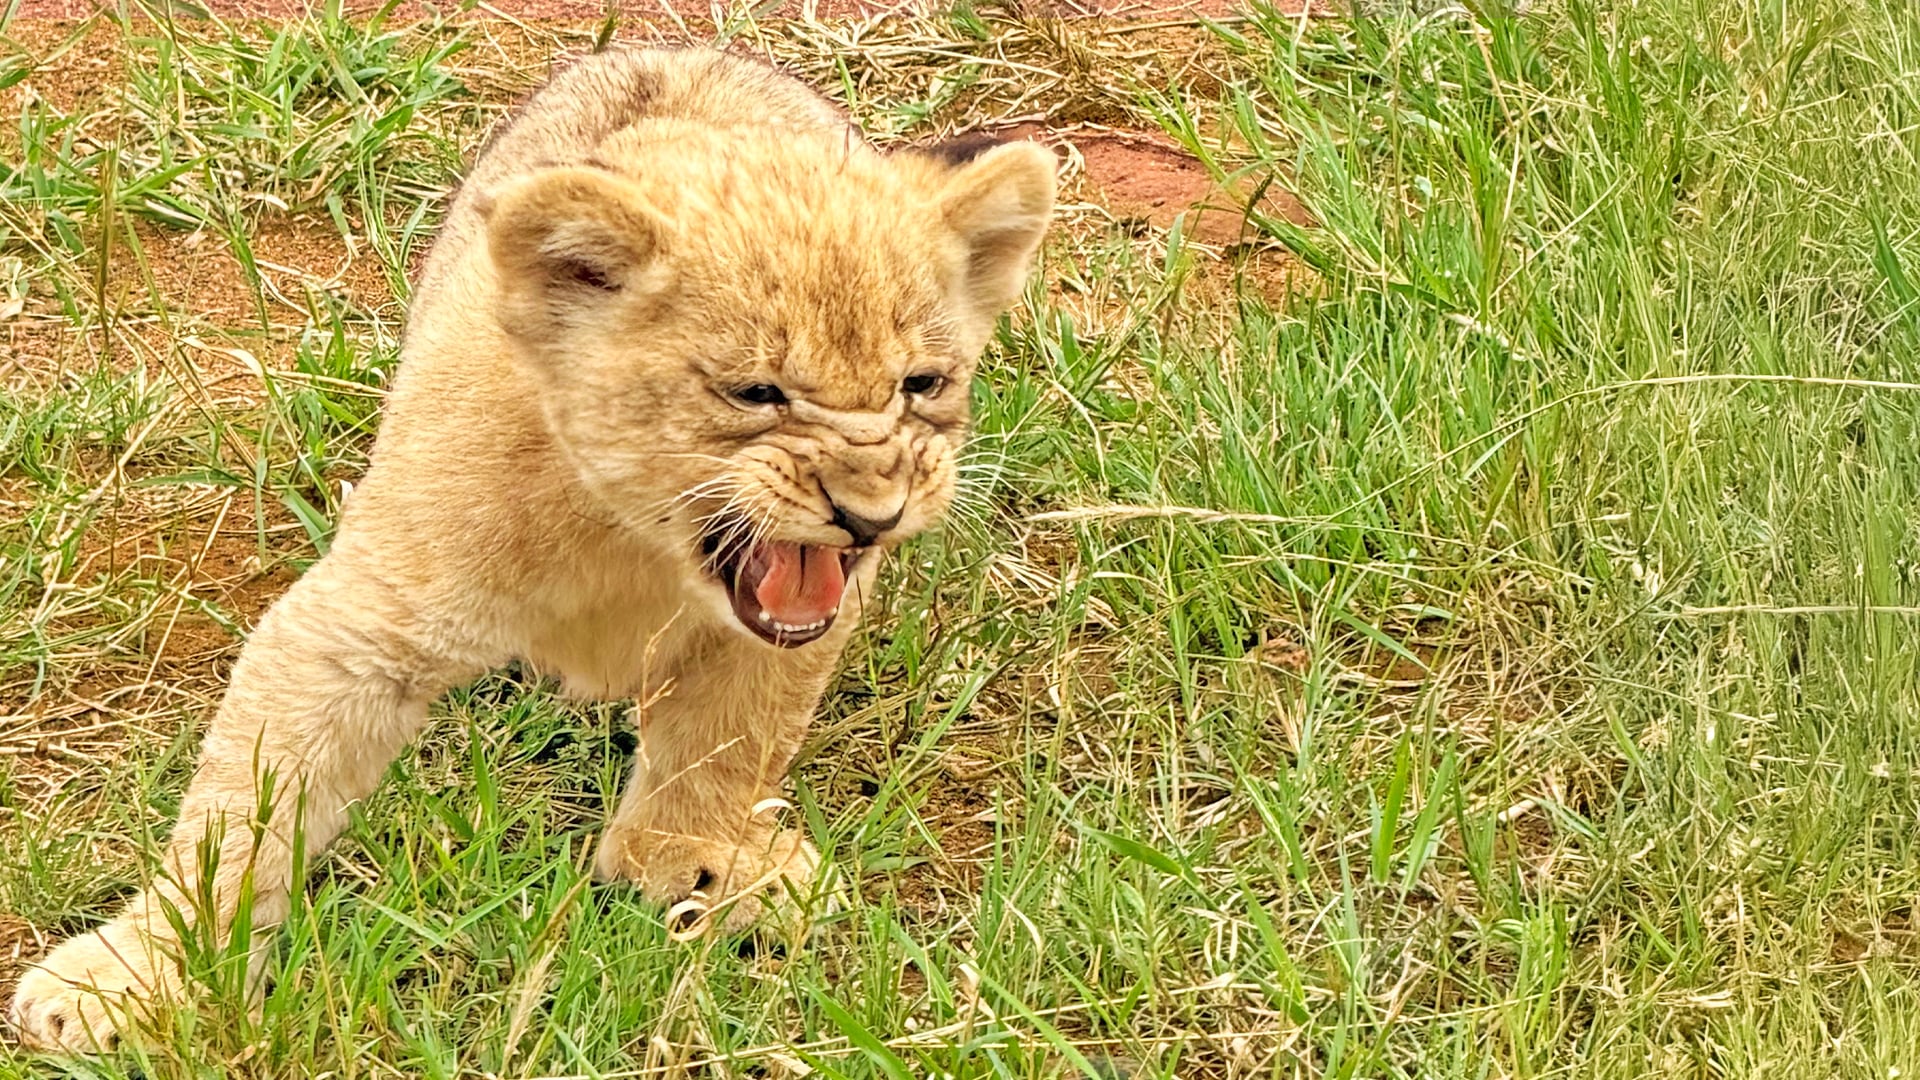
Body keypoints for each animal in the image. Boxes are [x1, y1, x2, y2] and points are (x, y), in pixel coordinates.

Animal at [8, 46, 1054, 1052]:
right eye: (755, 393)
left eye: (922, 383)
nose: (873, 514)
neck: (634, 531)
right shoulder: (362, 625)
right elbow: (246, 812)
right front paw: (134, 974)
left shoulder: (787, 626)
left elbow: (729, 742)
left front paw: (696, 860)